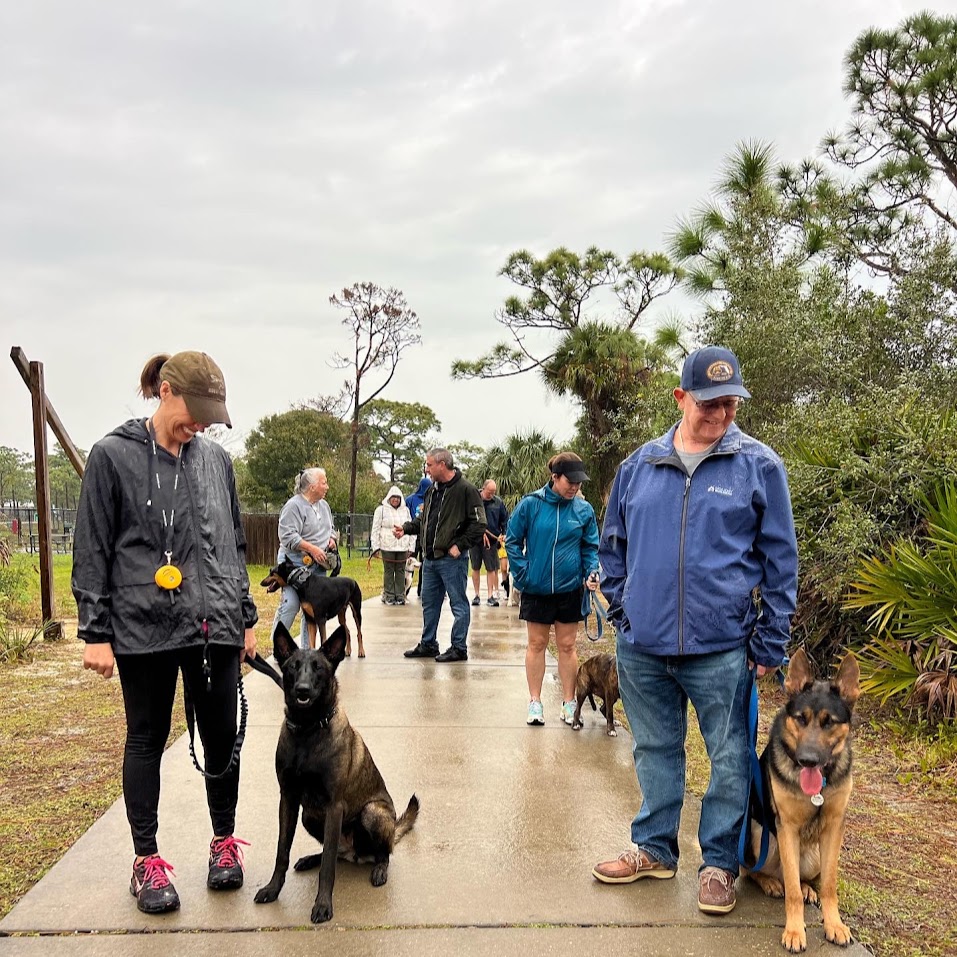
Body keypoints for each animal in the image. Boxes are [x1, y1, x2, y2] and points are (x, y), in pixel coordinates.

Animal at [254, 620, 418, 928]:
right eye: (292, 667)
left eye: (319, 667)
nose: (302, 690)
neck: (308, 731)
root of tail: (355, 854)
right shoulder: (289, 799)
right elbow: (282, 851)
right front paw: (273, 888)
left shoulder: (334, 806)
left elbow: (328, 865)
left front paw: (323, 905)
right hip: (309, 816)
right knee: (335, 853)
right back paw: (310, 858)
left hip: (372, 813)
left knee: (380, 852)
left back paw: (379, 868)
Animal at [740, 648, 860, 952]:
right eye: (801, 719)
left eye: (829, 722)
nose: (807, 760)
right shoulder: (787, 828)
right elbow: (791, 891)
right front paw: (795, 931)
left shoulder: (834, 827)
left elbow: (828, 885)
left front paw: (834, 924)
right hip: (758, 834)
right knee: (758, 872)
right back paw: (770, 882)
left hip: (815, 854)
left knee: (801, 878)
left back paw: (807, 889)